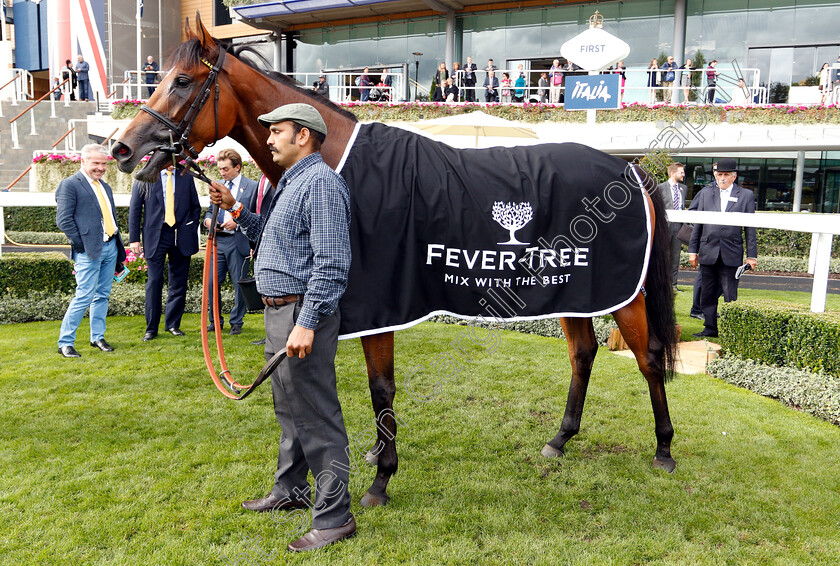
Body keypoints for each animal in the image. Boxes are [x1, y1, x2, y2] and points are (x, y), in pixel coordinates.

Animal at [111, 14, 680, 510]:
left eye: (182, 81)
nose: (121, 148)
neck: (336, 161)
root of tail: (632, 170)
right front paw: (373, 457)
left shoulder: (377, 306)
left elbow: (379, 386)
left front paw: (381, 480)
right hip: (574, 291)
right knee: (583, 354)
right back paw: (560, 439)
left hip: (623, 297)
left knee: (649, 359)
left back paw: (664, 449)